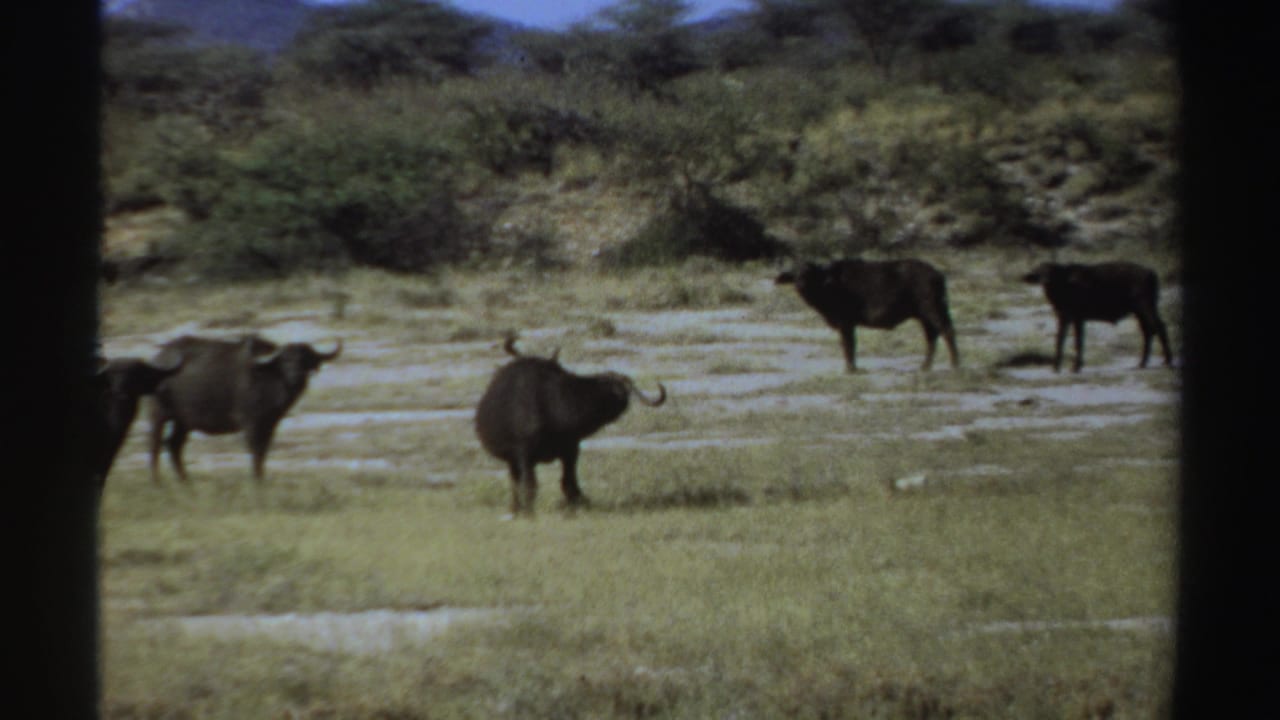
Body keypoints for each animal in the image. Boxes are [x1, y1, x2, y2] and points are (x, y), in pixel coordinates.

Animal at [147, 334, 342, 483]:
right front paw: (256, 481)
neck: (268, 377)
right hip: (159, 414)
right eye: (285, 360)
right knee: (155, 446)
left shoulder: (270, 424)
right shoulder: (251, 423)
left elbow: (263, 452)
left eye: (305, 359)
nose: (296, 376)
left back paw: (186, 482)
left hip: (183, 422)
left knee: (174, 446)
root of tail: (158, 359)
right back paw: (157, 482)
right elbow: (256, 452)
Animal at [475, 336, 667, 515]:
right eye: (613, 388)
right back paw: (516, 509)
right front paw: (530, 513)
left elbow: (569, 483)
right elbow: (530, 485)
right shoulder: (525, 454)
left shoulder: (571, 450)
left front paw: (576, 506)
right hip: (513, 460)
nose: (623, 398)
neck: (552, 407)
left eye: (623, 389)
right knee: (515, 483)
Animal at [776, 258, 960, 372]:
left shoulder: (846, 323)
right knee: (932, 337)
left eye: (810, 273)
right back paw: (925, 366)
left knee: (947, 331)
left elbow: (848, 345)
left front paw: (850, 369)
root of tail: (937, 275)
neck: (830, 285)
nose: (801, 284)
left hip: (932, 309)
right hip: (925, 316)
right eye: (795, 274)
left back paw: (954, 364)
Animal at [1021, 261, 1173, 372]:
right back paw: (1143, 363)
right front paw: (1056, 367)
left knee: (1157, 328)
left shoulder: (1077, 318)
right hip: (1141, 311)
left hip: (1144, 307)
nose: (1045, 280)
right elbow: (1060, 340)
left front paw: (1076, 367)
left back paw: (1166, 361)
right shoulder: (1064, 317)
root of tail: (1149, 272)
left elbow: (1078, 342)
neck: (1066, 284)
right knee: (1149, 330)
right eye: (1039, 271)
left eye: (1052, 272)